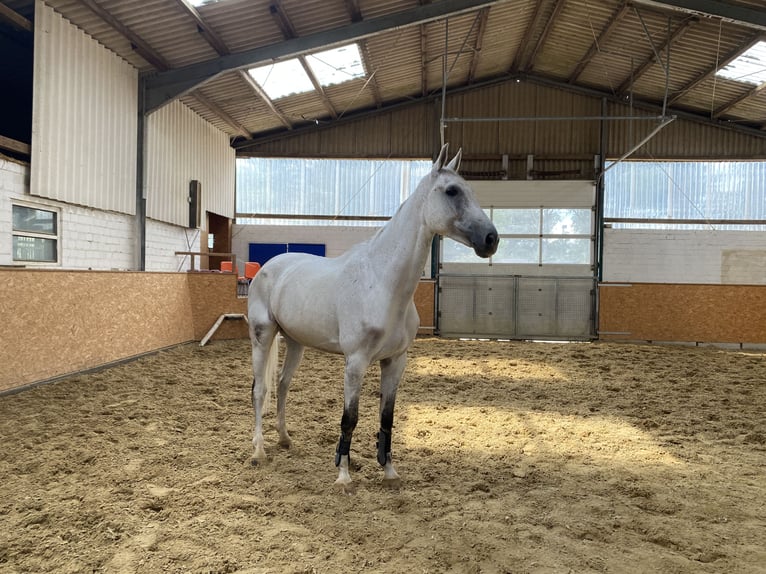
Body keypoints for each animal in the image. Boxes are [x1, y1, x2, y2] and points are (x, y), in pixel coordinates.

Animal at [246, 146, 498, 492]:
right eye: (452, 191)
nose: (491, 239)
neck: (381, 282)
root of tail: (267, 267)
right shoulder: (355, 362)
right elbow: (349, 417)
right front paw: (343, 476)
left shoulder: (395, 361)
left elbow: (386, 417)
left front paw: (389, 472)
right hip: (263, 336)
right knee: (260, 390)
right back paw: (258, 451)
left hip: (296, 342)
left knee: (283, 385)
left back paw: (284, 440)